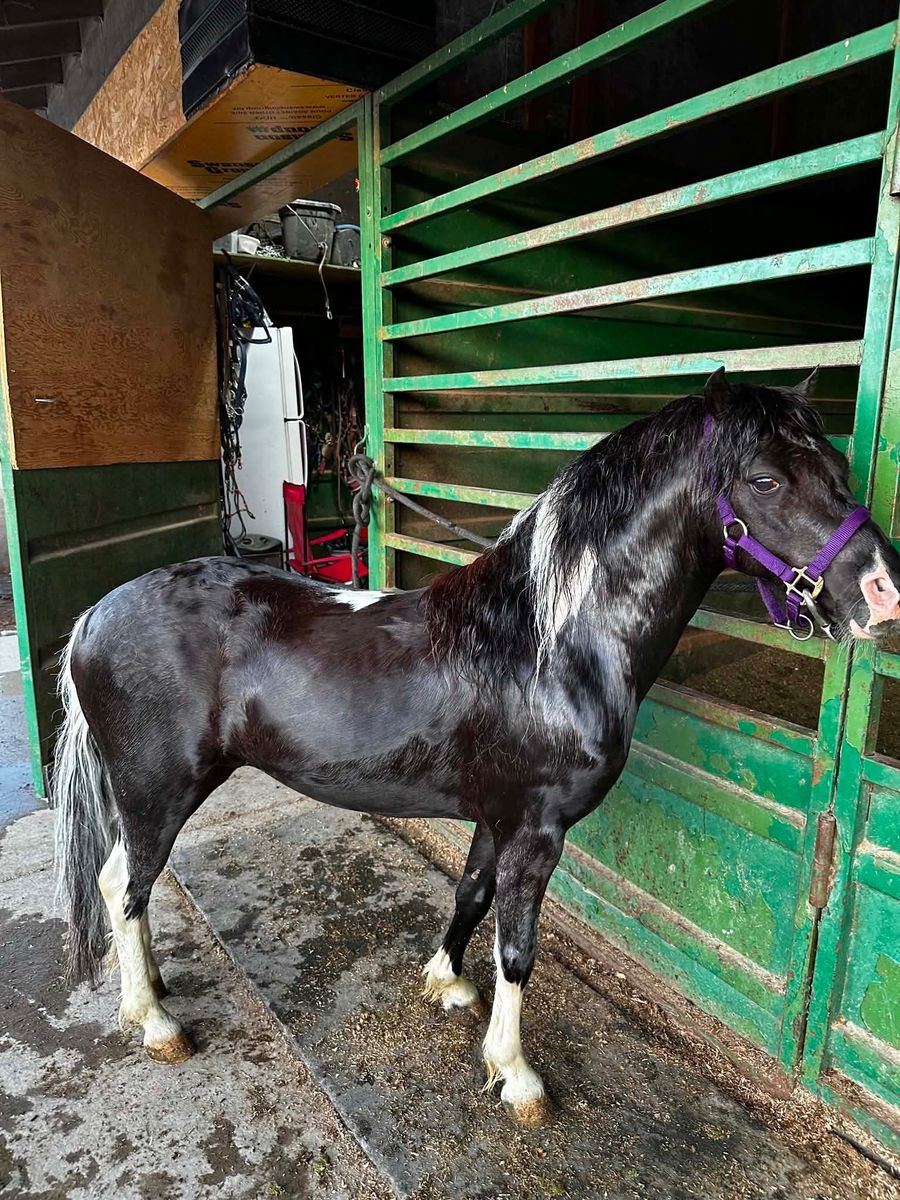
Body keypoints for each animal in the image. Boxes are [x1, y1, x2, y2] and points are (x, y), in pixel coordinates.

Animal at [53, 369, 900, 1127]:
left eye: (839, 469)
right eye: (765, 479)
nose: (884, 593)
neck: (548, 642)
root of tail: (93, 614)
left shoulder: (499, 818)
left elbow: (470, 894)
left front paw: (447, 983)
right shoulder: (538, 832)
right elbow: (519, 951)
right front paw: (517, 1075)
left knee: (127, 889)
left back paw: (154, 988)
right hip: (158, 790)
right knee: (124, 885)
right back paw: (154, 1021)